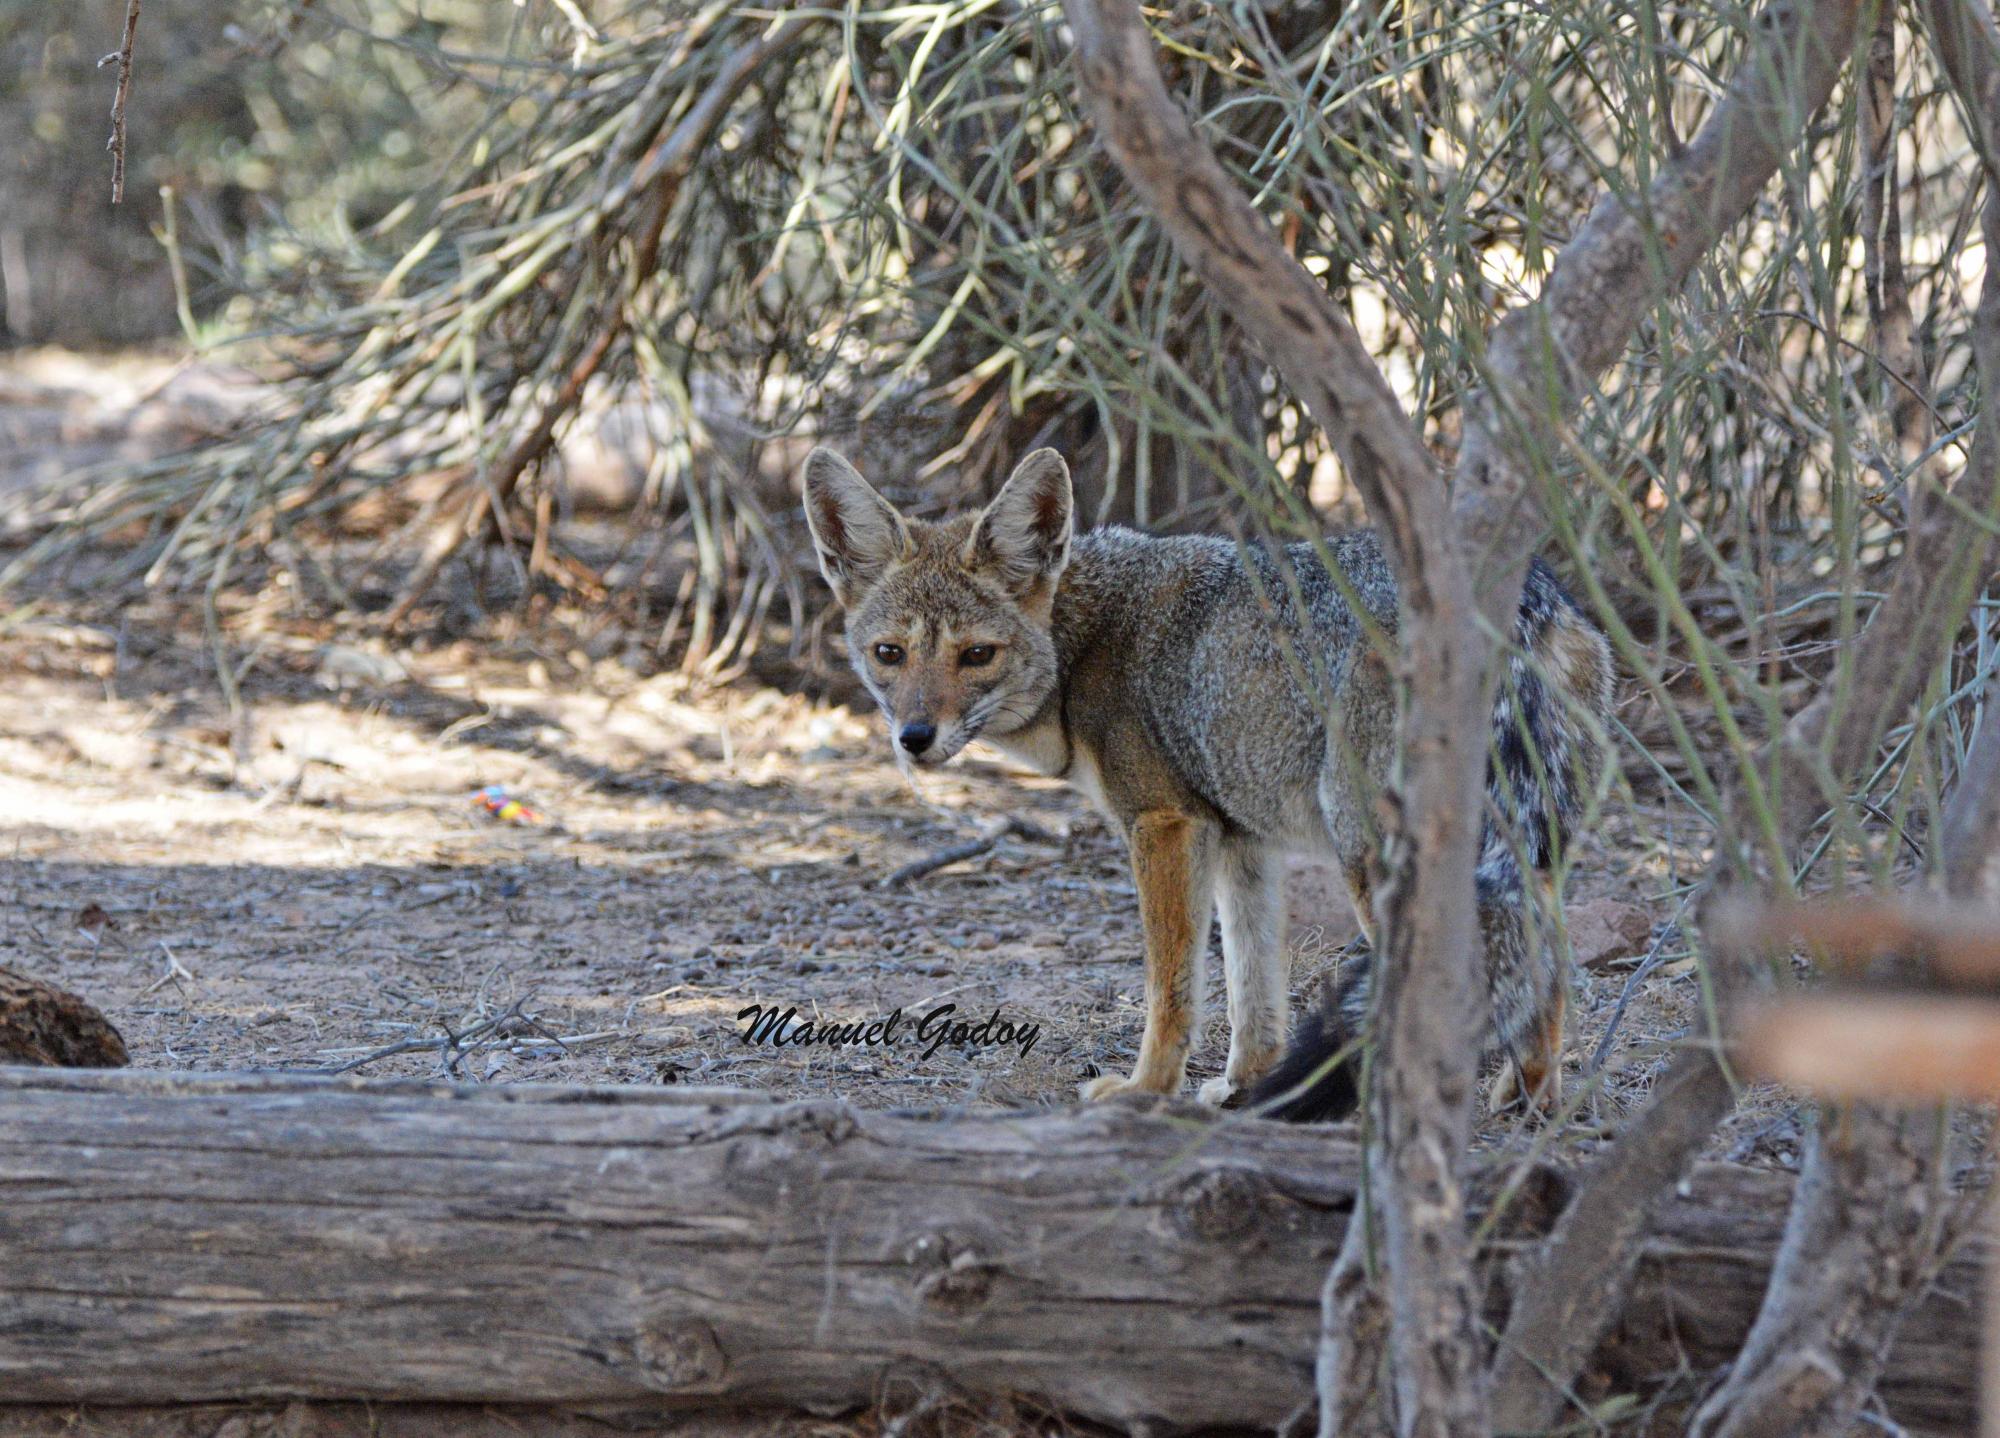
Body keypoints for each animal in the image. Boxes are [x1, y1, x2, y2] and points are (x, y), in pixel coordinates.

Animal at [802, 445, 1613, 1116]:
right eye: (890, 653)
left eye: (976, 655)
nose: (915, 739)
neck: (1085, 643)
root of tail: (1527, 592)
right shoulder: (1244, 838)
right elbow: (1254, 984)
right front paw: (1246, 1081)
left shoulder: (1164, 824)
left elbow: (1172, 989)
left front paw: (1145, 1089)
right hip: (1520, 854)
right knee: (1548, 969)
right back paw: (1531, 1096)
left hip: (1373, 852)